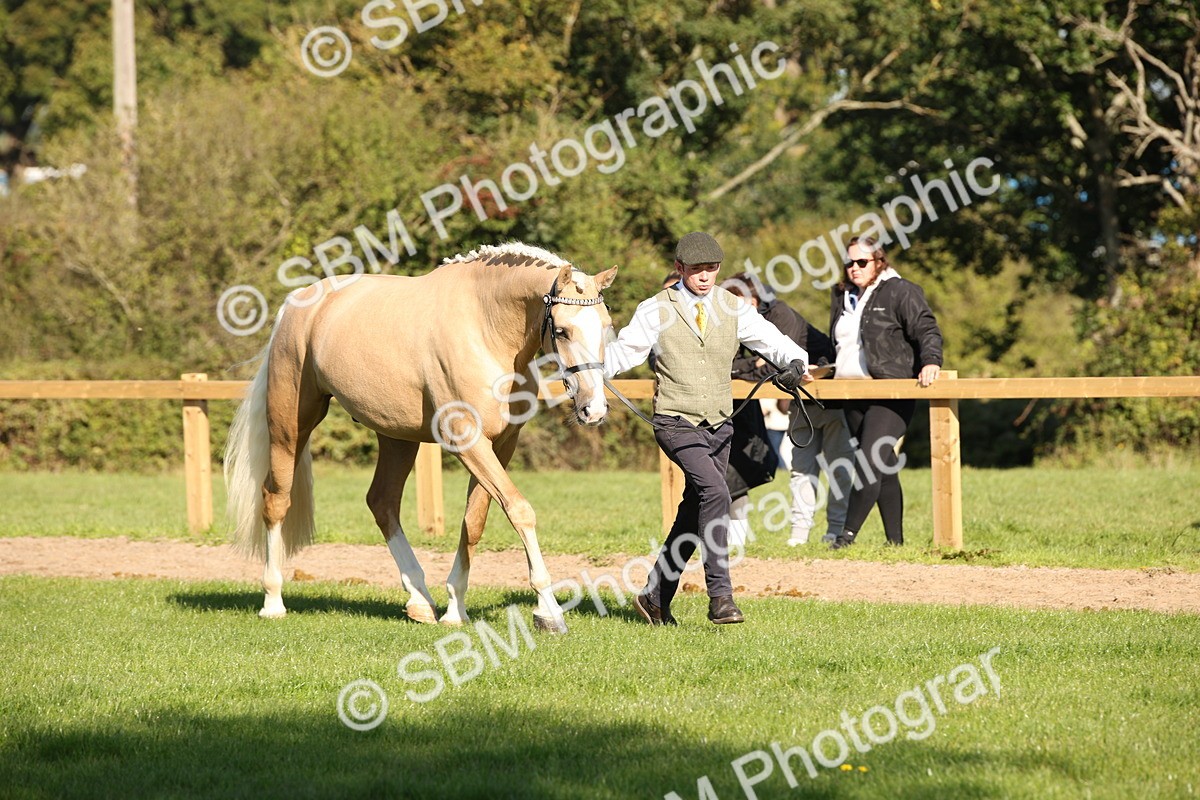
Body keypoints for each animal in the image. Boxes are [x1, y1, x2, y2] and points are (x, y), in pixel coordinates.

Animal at [224, 243, 618, 634]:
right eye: (562, 331)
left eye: (607, 326)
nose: (594, 409)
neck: (484, 328)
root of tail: (296, 304)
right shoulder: (467, 440)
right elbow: (520, 510)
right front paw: (548, 611)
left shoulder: (501, 445)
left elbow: (474, 521)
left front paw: (455, 609)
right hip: (289, 426)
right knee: (276, 500)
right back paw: (273, 601)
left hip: (396, 437)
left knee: (381, 502)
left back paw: (420, 600)